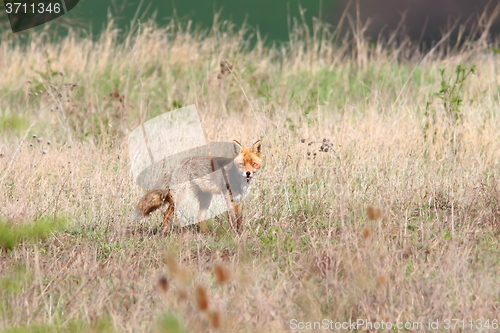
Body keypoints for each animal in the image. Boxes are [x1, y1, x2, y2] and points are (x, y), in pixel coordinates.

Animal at [131, 140, 264, 233]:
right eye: (241, 164)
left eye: (253, 163)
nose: (248, 173)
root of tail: (178, 164)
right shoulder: (228, 198)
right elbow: (232, 218)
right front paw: (233, 234)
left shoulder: (238, 200)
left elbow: (239, 219)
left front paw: (240, 234)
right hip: (181, 198)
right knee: (166, 214)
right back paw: (164, 233)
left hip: (205, 198)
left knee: (199, 216)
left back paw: (207, 233)